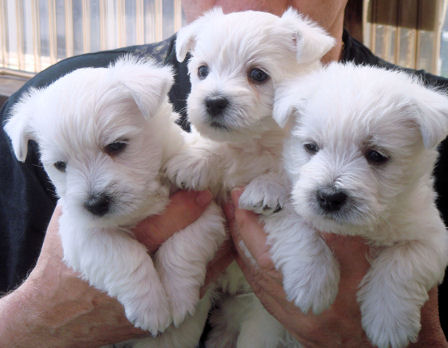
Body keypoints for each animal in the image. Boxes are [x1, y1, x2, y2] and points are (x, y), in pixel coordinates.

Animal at [3, 55, 228, 346]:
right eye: (60, 165)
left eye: (116, 145)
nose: (95, 204)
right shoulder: (81, 233)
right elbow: (123, 254)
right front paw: (151, 307)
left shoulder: (203, 208)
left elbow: (183, 246)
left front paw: (177, 297)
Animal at [169, 6, 336, 348]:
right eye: (202, 71)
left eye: (258, 74)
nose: (213, 101)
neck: (250, 144)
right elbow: (211, 149)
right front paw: (194, 160)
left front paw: (267, 188)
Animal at [268, 61, 448, 348]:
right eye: (310, 147)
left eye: (376, 155)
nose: (329, 196)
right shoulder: (288, 203)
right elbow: (297, 225)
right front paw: (311, 282)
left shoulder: (432, 236)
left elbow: (403, 261)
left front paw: (389, 323)